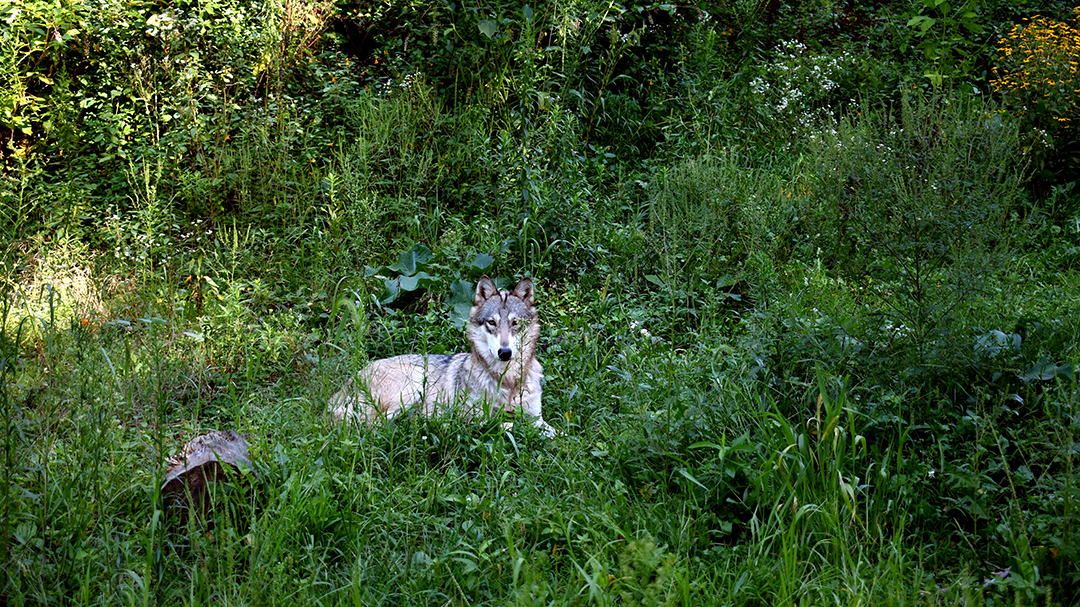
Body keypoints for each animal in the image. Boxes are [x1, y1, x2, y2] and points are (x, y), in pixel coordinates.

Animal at [330, 276, 557, 436]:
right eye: (492, 323)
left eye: (515, 323)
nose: (505, 352)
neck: (508, 381)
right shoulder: (471, 416)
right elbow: (508, 425)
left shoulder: (536, 417)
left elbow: (557, 432)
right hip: (412, 384)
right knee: (374, 425)